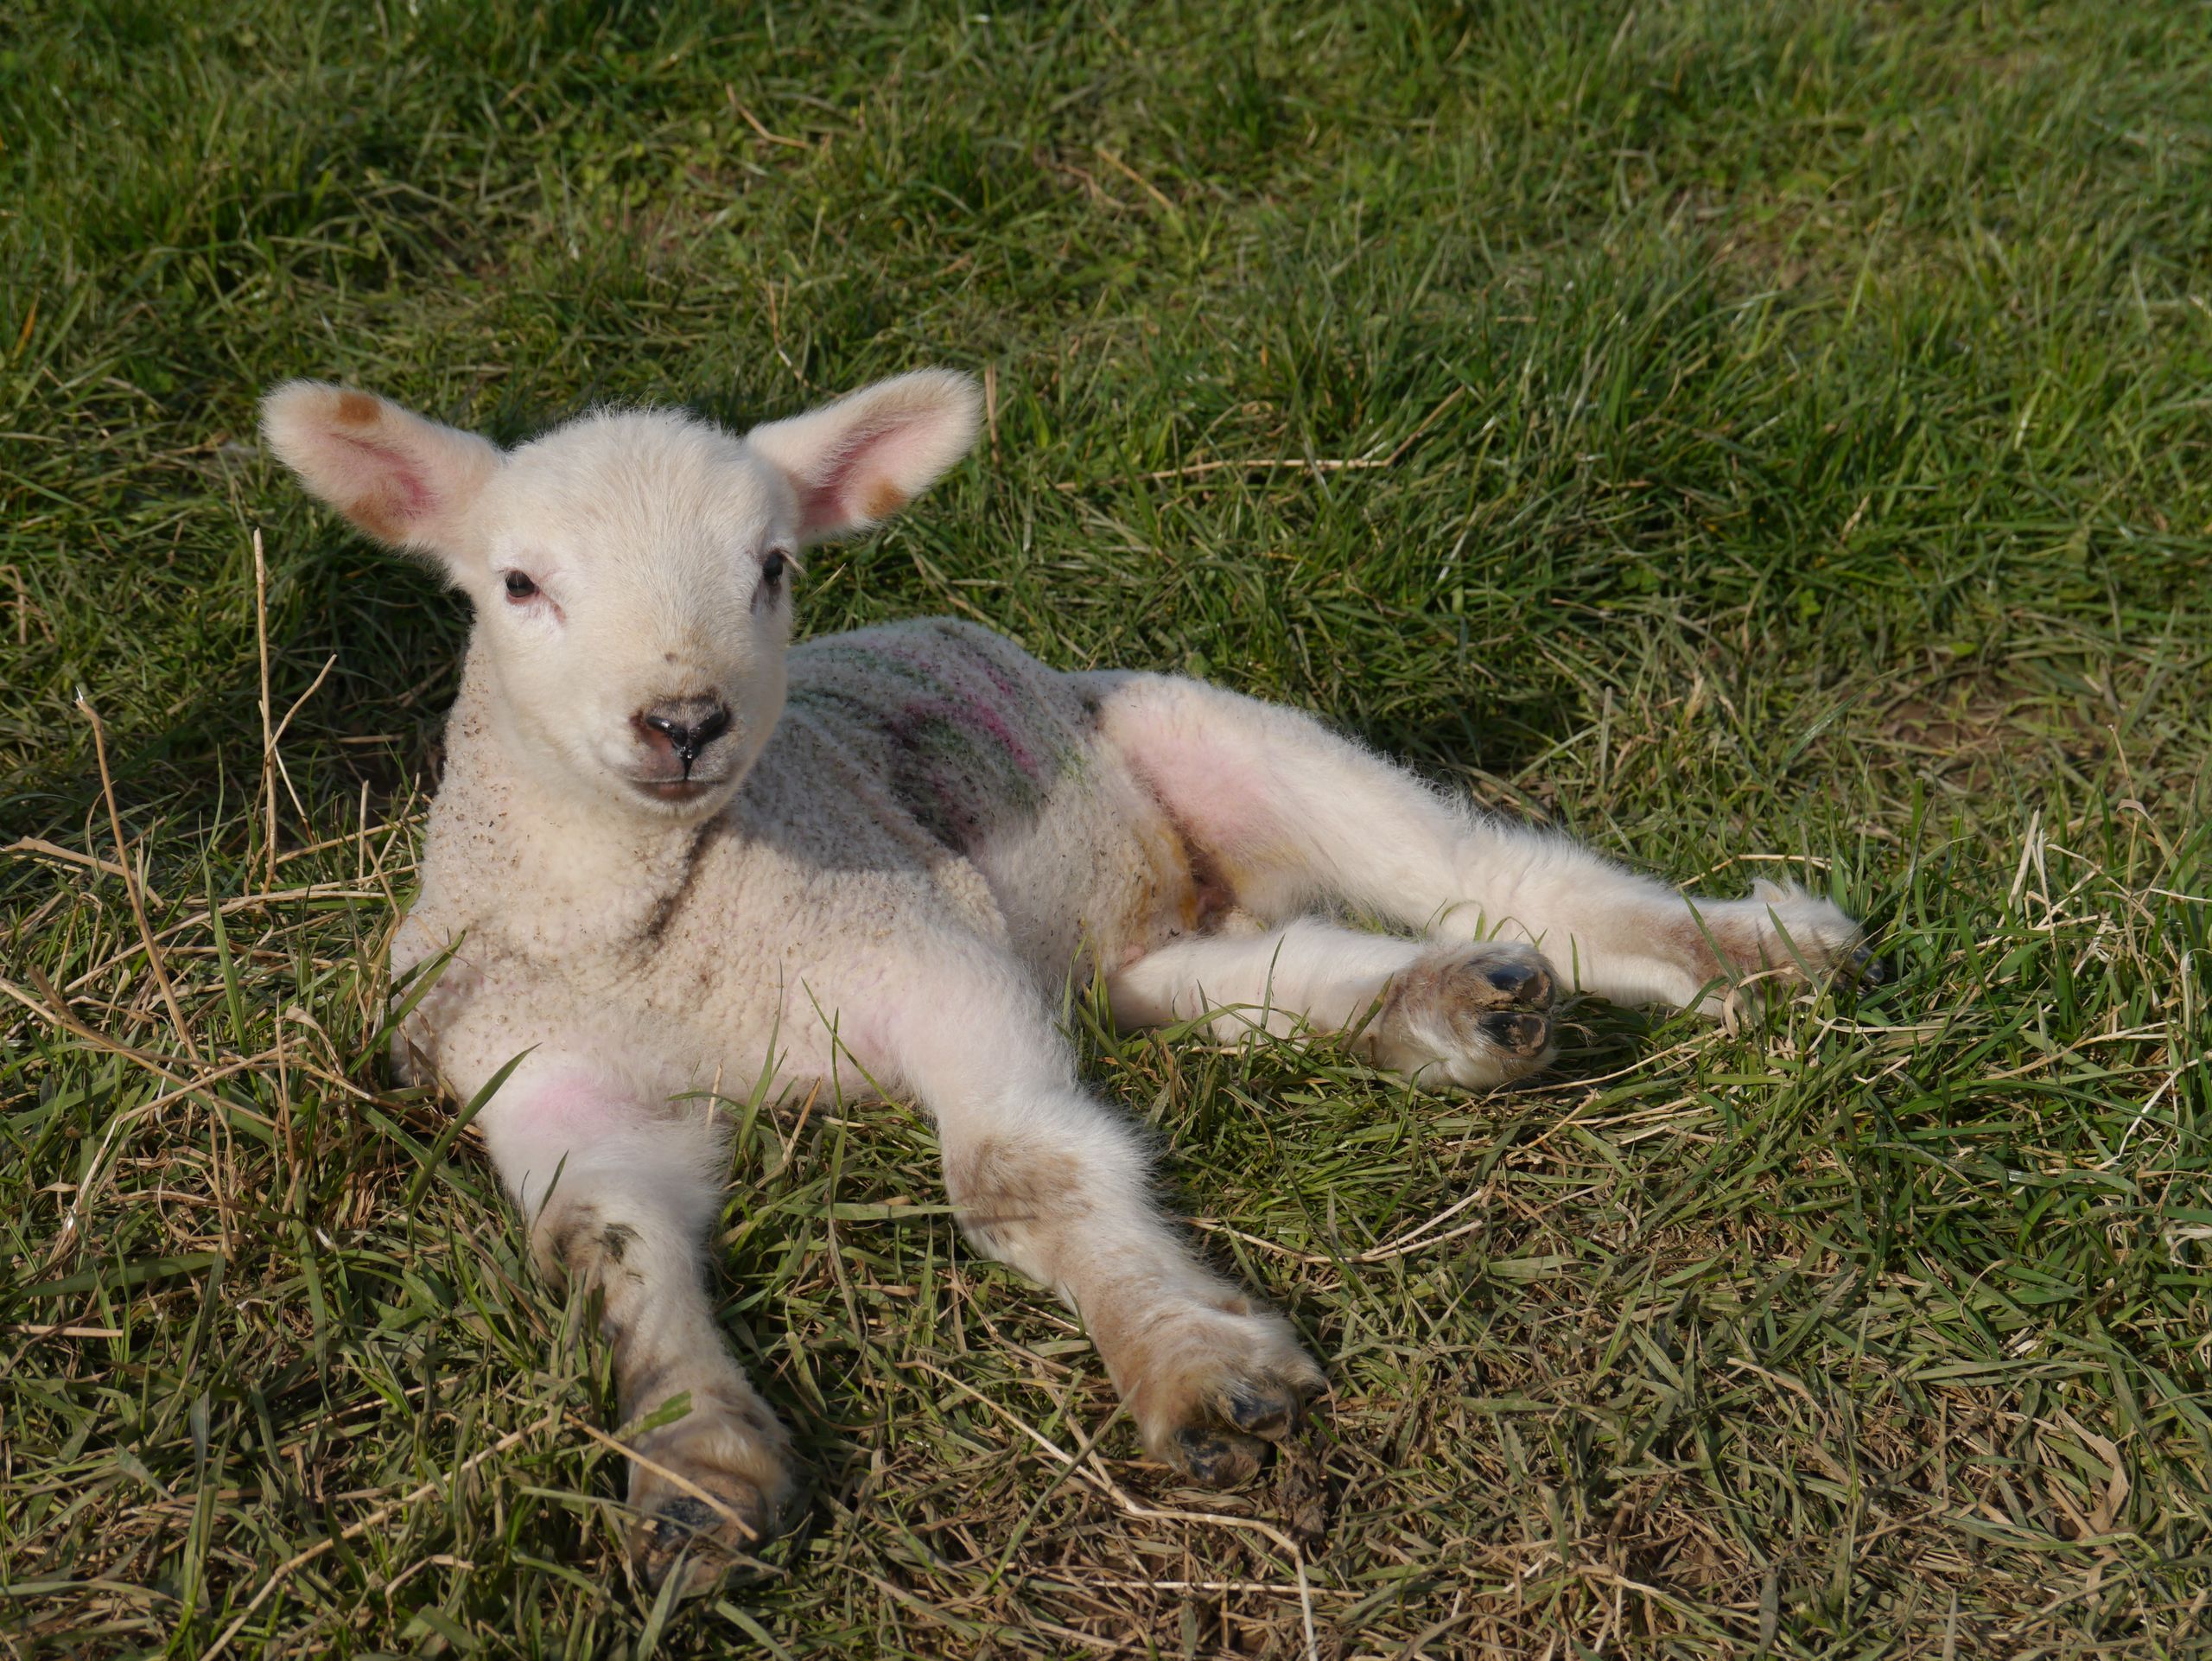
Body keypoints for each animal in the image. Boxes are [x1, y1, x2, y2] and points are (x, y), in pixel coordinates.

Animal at [262, 369, 1866, 1594]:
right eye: (518, 584)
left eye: (774, 568)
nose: (684, 720)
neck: (658, 936)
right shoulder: (550, 1081)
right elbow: (603, 1249)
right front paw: (695, 1481)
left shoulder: (925, 957)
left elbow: (1019, 1175)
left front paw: (1191, 1368)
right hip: (1125, 950)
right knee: (1261, 972)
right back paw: (1465, 1009)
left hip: (1215, 735)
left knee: (1496, 866)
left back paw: (1758, 955)